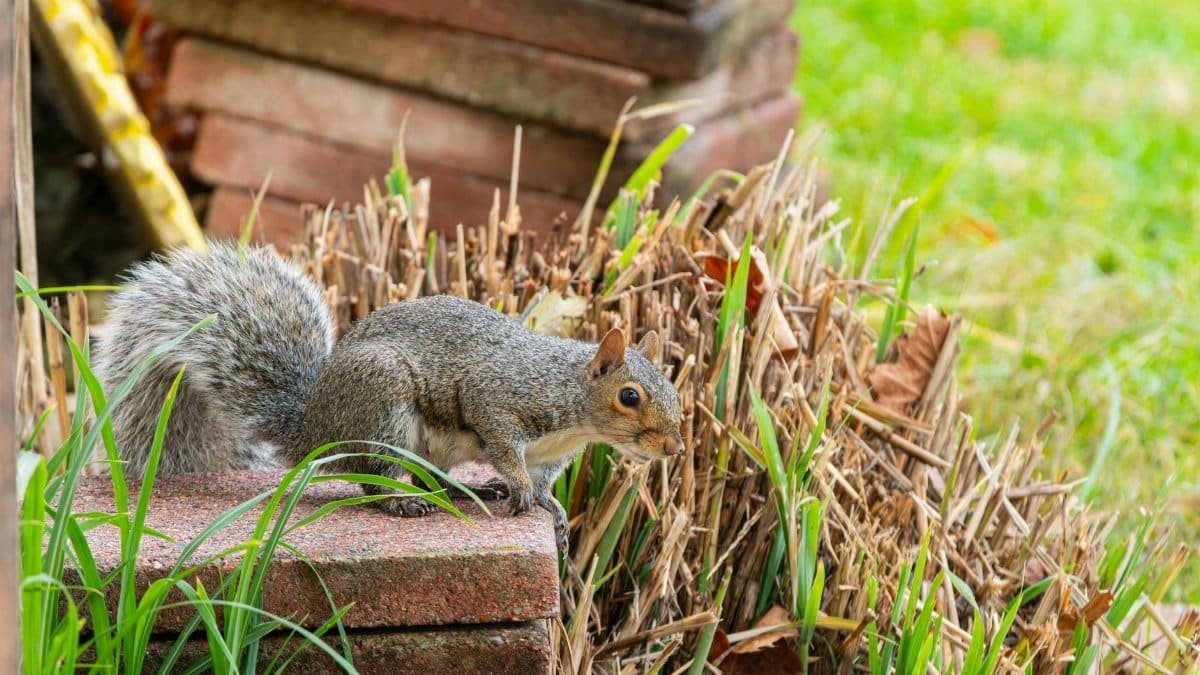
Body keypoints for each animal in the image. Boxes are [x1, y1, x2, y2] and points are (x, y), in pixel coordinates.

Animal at [93, 243, 685, 550]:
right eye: (629, 396)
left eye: (674, 392)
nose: (674, 449)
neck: (570, 398)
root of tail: (317, 430)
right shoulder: (498, 397)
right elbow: (503, 443)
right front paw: (518, 489)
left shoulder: (551, 456)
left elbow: (542, 484)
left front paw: (550, 509)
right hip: (384, 407)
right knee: (374, 478)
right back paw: (404, 501)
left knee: (424, 476)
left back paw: (466, 489)